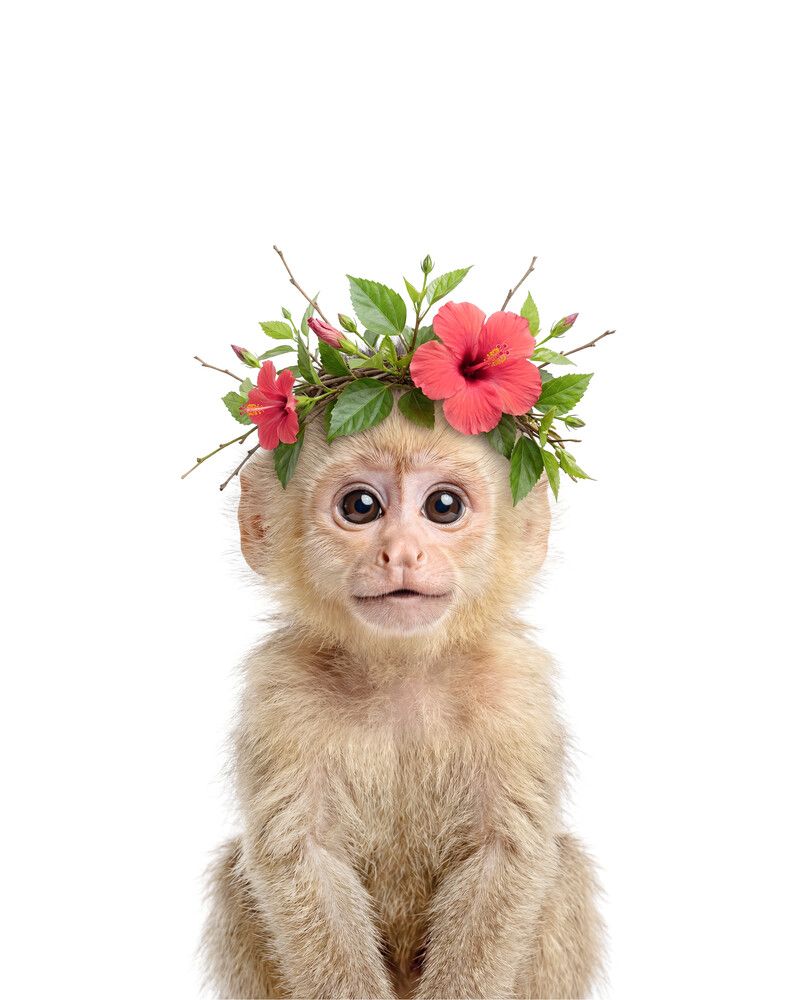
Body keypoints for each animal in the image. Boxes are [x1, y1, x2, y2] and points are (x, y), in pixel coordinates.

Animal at [202, 398, 604, 999]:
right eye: (360, 506)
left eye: (443, 506)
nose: (402, 553)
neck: (402, 675)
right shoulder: (281, 693)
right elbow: (302, 858)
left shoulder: (515, 692)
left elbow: (504, 856)